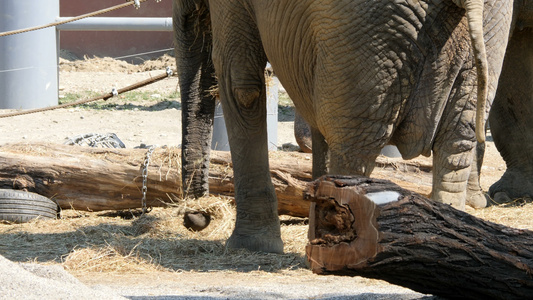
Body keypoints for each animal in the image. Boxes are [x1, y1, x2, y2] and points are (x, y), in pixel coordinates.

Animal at [174, 0, 528, 253]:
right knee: (457, 139)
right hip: (487, 23)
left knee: (356, 145)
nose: (196, 217)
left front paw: (250, 247)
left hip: (369, 31)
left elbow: (241, 84)